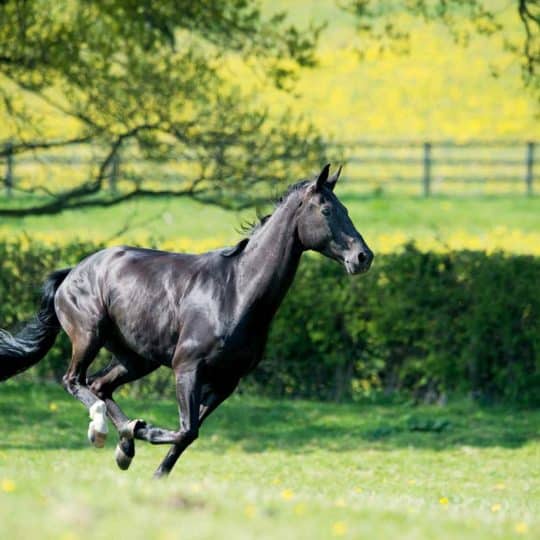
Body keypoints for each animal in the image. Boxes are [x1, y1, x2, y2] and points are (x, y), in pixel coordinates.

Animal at [0, 165, 372, 476]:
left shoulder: (226, 382)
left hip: (137, 359)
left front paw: (155, 470)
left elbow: (190, 434)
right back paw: (104, 432)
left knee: (99, 386)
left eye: (347, 210)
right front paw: (143, 429)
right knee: (74, 381)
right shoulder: (187, 368)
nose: (362, 257)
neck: (236, 292)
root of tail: (71, 273)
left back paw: (124, 446)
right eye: (326, 210)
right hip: (88, 336)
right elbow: (185, 428)